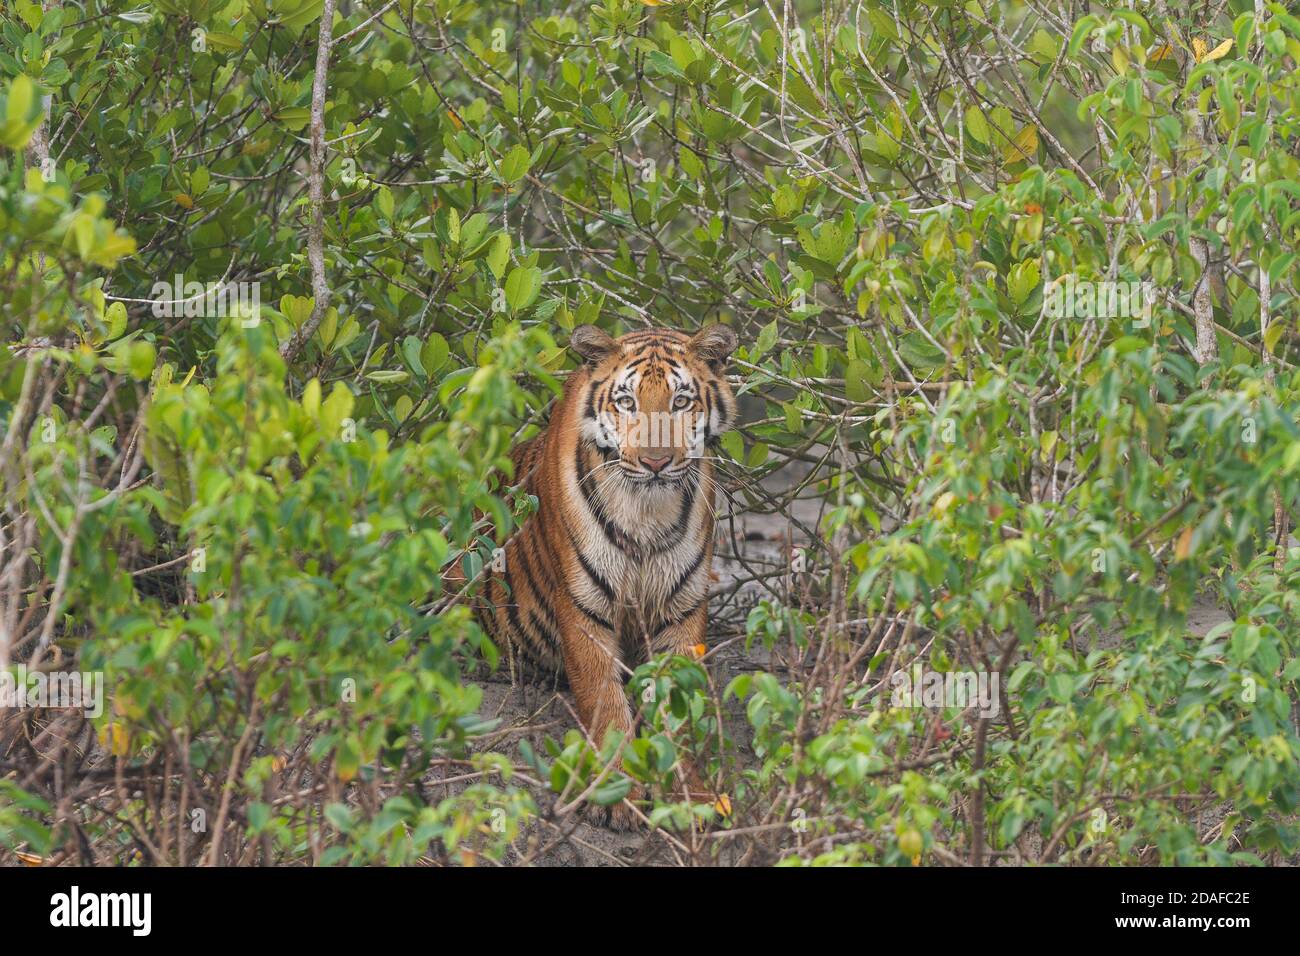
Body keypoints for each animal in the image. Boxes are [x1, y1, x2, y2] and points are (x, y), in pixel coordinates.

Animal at [478, 323, 743, 832]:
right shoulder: (583, 610)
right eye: (626, 402)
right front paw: (618, 795)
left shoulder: (681, 609)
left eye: (681, 401)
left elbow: (679, 709)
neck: (647, 510)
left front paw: (693, 796)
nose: (656, 463)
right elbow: (605, 703)